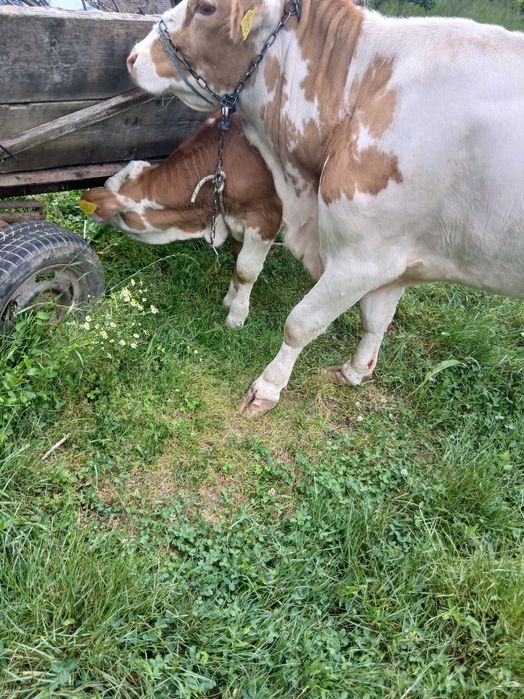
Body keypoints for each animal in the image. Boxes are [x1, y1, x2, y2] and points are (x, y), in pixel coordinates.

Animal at [80, 115, 283, 328]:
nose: (91, 209)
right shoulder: (236, 218)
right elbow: (237, 260)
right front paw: (229, 300)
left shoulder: (264, 218)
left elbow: (246, 270)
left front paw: (237, 316)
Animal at [127, 0, 524, 417]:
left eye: (207, 8)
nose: (133, 56)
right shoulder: (397, 259)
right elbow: (376, 319)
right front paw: (355, 371)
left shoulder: (362, 258)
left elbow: (300, 323)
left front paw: (267, 388)